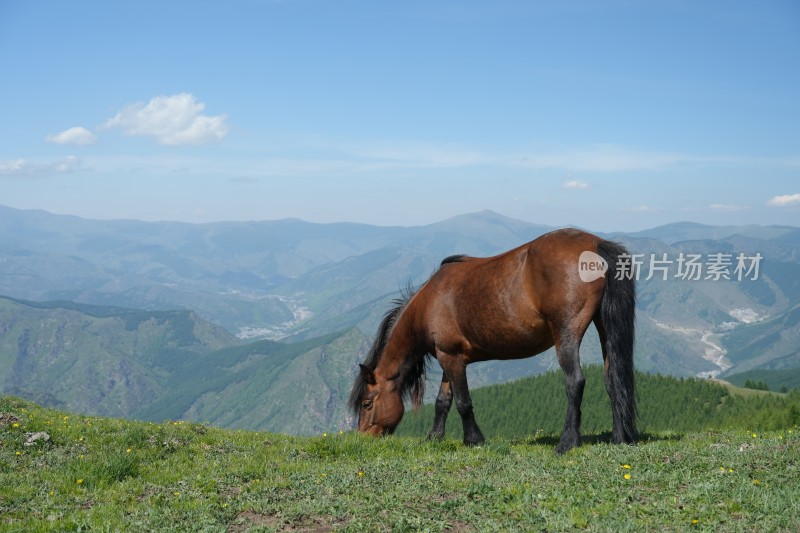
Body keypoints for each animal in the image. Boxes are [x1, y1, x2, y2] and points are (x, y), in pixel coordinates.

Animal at [350, 227, 636, 450]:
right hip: (604, 327)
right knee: (613, 379)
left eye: (367, 403)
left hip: (566, 334)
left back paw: (567, 442)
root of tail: (595, 244)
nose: (362, 438)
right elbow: (443, 401)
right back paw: (619, 438)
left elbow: (463, 402)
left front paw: (473, 439)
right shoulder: (450, 357)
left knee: (575, 382)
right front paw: (434, 438)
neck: (429, 302)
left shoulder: (451, 359)